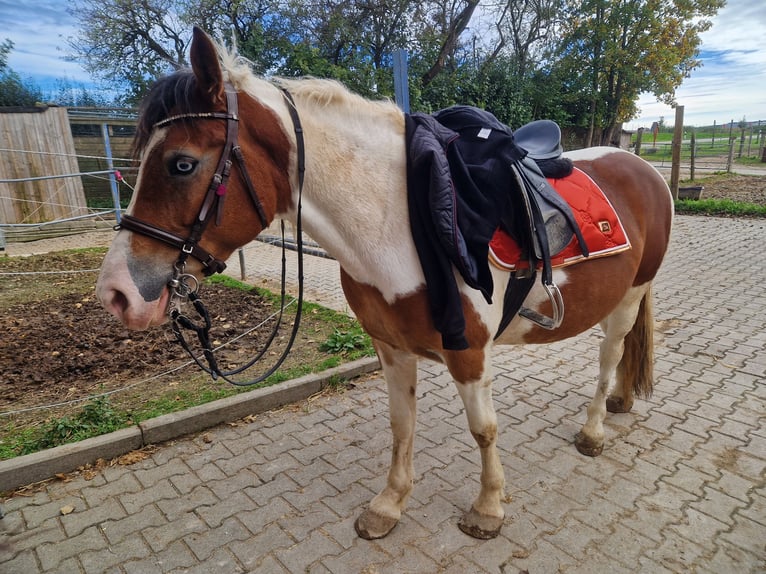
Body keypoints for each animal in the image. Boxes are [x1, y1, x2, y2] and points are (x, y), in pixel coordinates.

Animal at [94, 29, 672, 544]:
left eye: (182, 163)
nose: (116, 294)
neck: (400, 225)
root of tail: (644, 166)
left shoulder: (469, 353)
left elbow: (483, 429)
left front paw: (487, 509)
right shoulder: (391, 347)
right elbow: (401, 425)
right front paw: (389, 506)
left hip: (629, 296)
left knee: (610, 354)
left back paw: (594, 430)